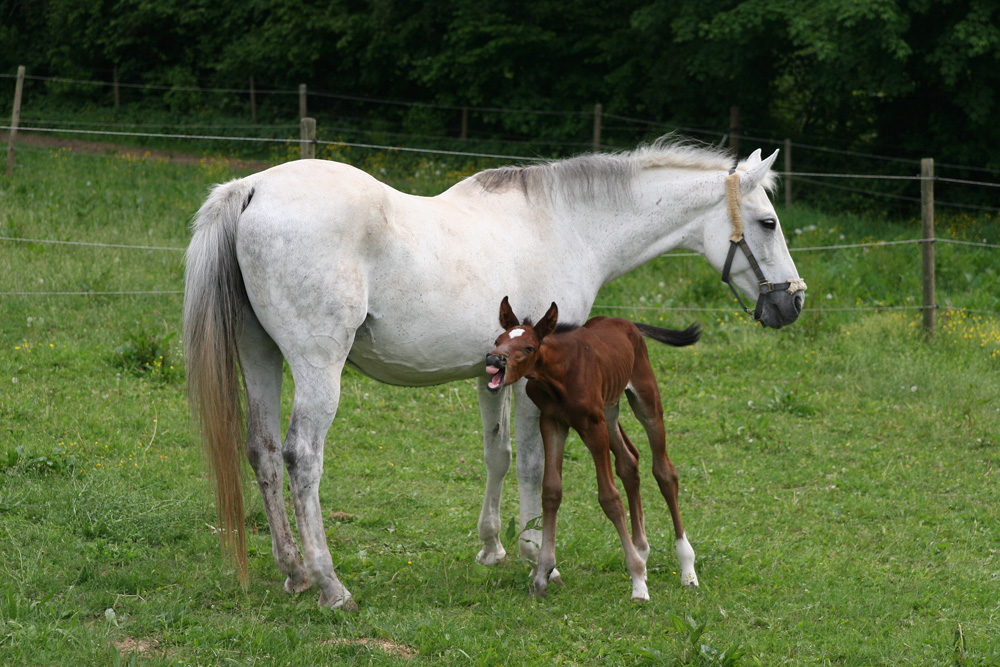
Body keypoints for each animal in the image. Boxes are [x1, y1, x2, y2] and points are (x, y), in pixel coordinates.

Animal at [488, 298, 700, 600]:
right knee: (629, 461)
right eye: (498, 340)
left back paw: (687, 569)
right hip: (610, 410)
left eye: (528, 347)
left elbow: (610, 498)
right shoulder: (552, 422)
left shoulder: (592, 425)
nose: (494, 360)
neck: (558, 374)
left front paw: (638, 583)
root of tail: (626, 322)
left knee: (664, 471)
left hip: (644, 400)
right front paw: (542, 575)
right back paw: (642, 550)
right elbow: (551, 491)